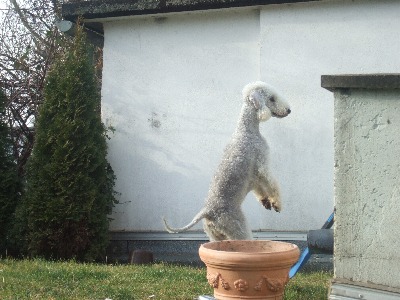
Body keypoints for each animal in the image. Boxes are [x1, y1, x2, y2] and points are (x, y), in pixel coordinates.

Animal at [162, 81, 290, 240]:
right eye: (272, 98)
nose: (288, 110)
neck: (246, 131)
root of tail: (207, 212)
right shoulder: (262, 164)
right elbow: (272, 185)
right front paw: (277, 204)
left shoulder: (254, 175)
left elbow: (259, 189)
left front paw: (266, 202)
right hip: (237, 227)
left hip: (214, 235)